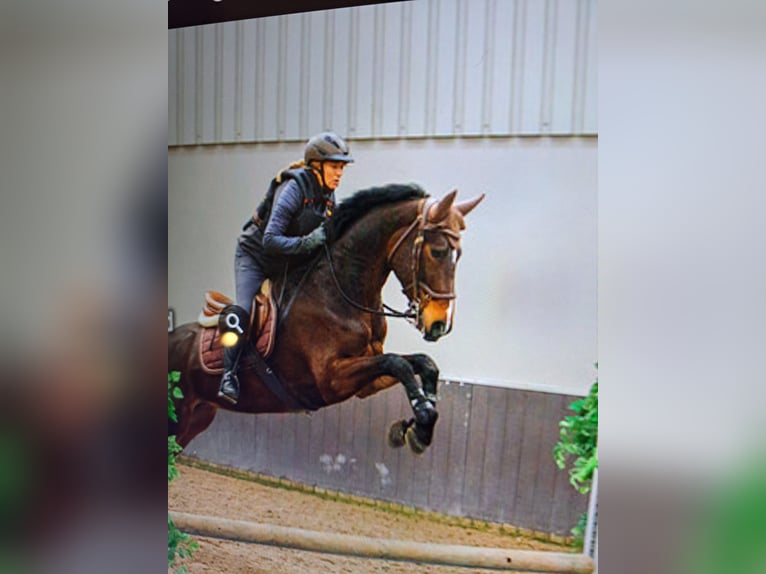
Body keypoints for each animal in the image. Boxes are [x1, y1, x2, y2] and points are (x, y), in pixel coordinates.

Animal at [168, 184, 484, 454]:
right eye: (438, 251)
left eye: (458, 254)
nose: (439, 324)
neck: (340, 294)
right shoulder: (330, 379)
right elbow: (398, 363)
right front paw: (419, 420)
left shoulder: (366, 381)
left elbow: (419, 363)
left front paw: (419, 425)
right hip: (178, 417)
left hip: (198, 418)